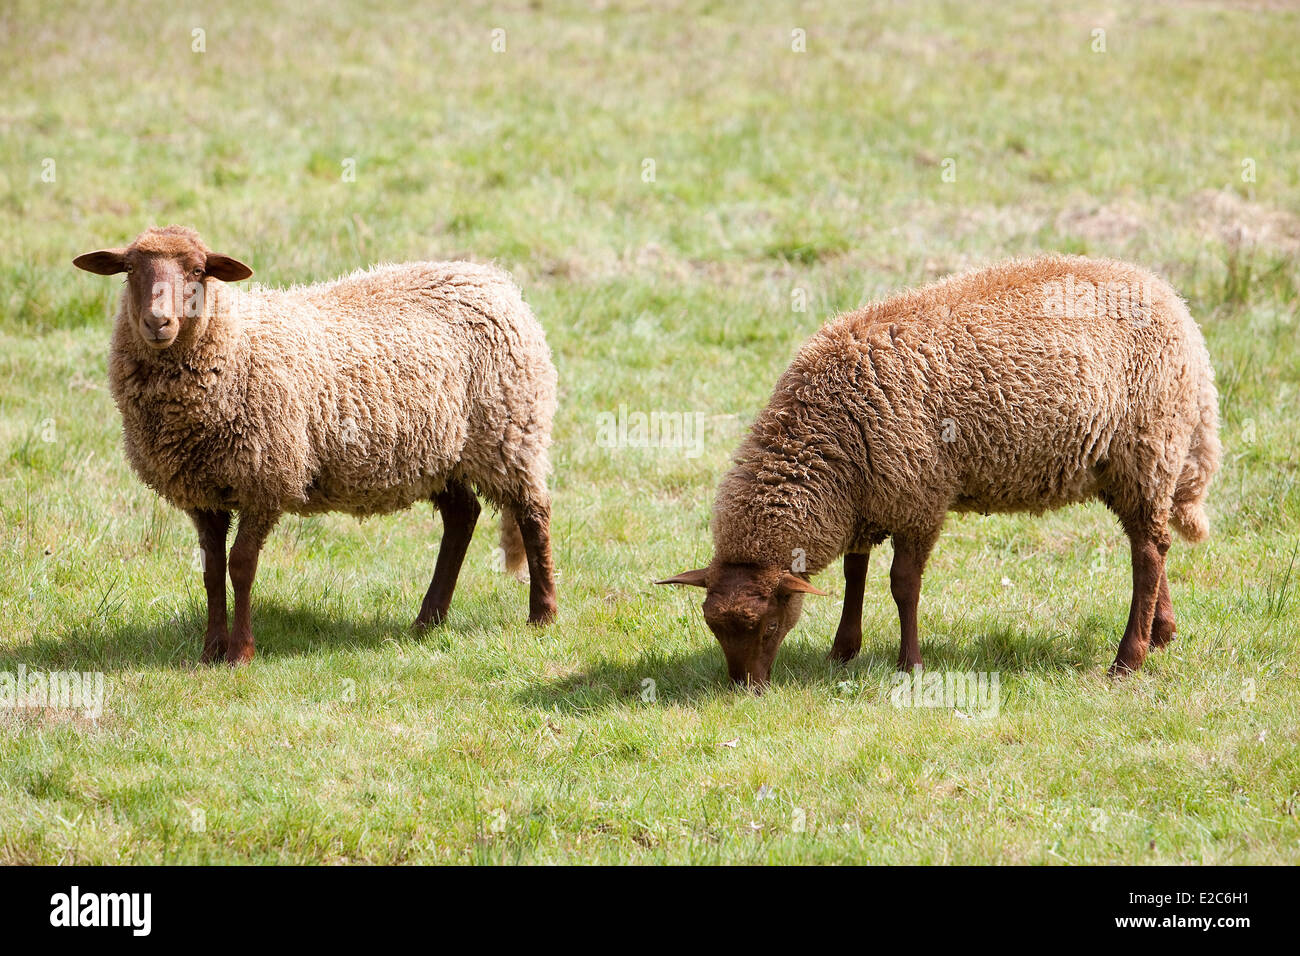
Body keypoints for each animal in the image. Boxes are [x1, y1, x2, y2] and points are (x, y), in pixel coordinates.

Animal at [74, 225, 557, 664]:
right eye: (129, 270)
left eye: (197, 270)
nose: (158, 322)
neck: (234, 343)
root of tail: (492, 278)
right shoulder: (204, 492)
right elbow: (211, 572)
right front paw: (210, 651)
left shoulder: (266, 479)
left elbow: (241, 566)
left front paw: (240, 653)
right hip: (441, 453)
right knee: (462, 517)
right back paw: (428, 620)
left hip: (509, 431)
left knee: (533, 513)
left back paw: (543, 615)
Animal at [659, 255, 1220, 688]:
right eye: (714, 630)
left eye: (770, 627)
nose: (745, 690)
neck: (830, 438)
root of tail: (1175, 304)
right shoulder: (867, 500)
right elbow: (855, 573)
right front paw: (843, 651)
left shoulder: (919, 499)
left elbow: (902, 586)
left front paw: (909, 664)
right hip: (1124, 464)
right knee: (1149, 542)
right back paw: (1161, 633)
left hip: (1148, 447)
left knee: (1148, 552)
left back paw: (1128, 660)